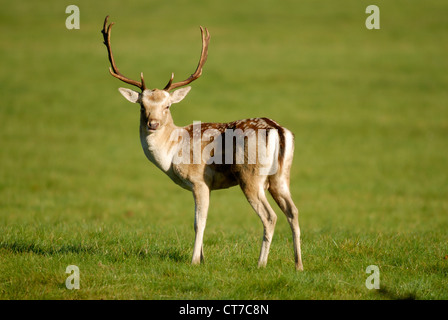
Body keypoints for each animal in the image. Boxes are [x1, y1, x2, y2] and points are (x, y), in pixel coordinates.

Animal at [101, 15, 304, 270]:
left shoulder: (199, 180)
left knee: (270, 216)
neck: (173, 152)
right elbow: (202, 220)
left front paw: (194, 260)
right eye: (142, 106)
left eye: (167, 106)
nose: (153, 123)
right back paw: (298, 265)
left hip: (251, 175)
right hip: (281, 176)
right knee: (293, 211)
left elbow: (200, 221)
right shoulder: (202, 186)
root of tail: (278, 130)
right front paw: (204, 258)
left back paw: (261, 263)